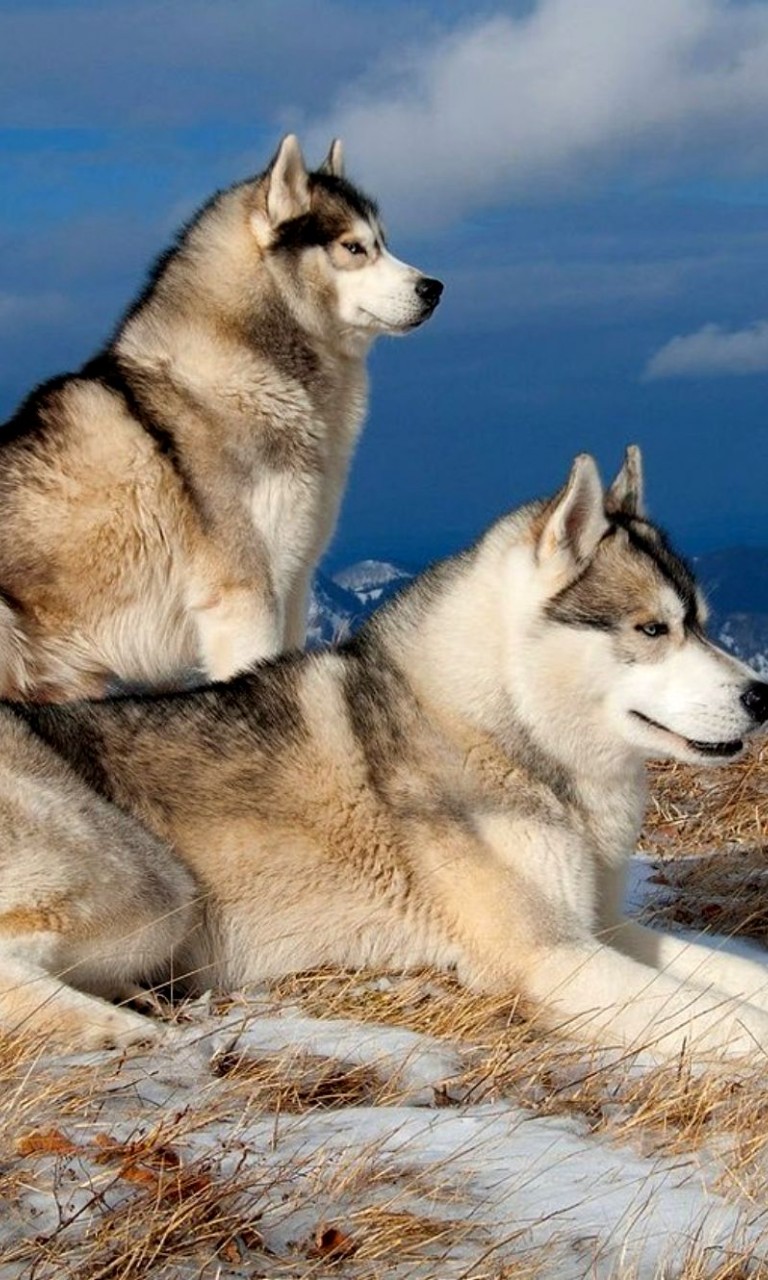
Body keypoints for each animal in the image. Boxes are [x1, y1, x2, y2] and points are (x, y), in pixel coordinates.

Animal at [2, 447, 768, 1058]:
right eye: (652, 628)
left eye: (701, 623)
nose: (762, 696)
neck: (503, 730)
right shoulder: (553, 957)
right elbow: (735, 1019)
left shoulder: (604, 927)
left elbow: (745, 978)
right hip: (158, 890)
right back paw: (113, 1026)